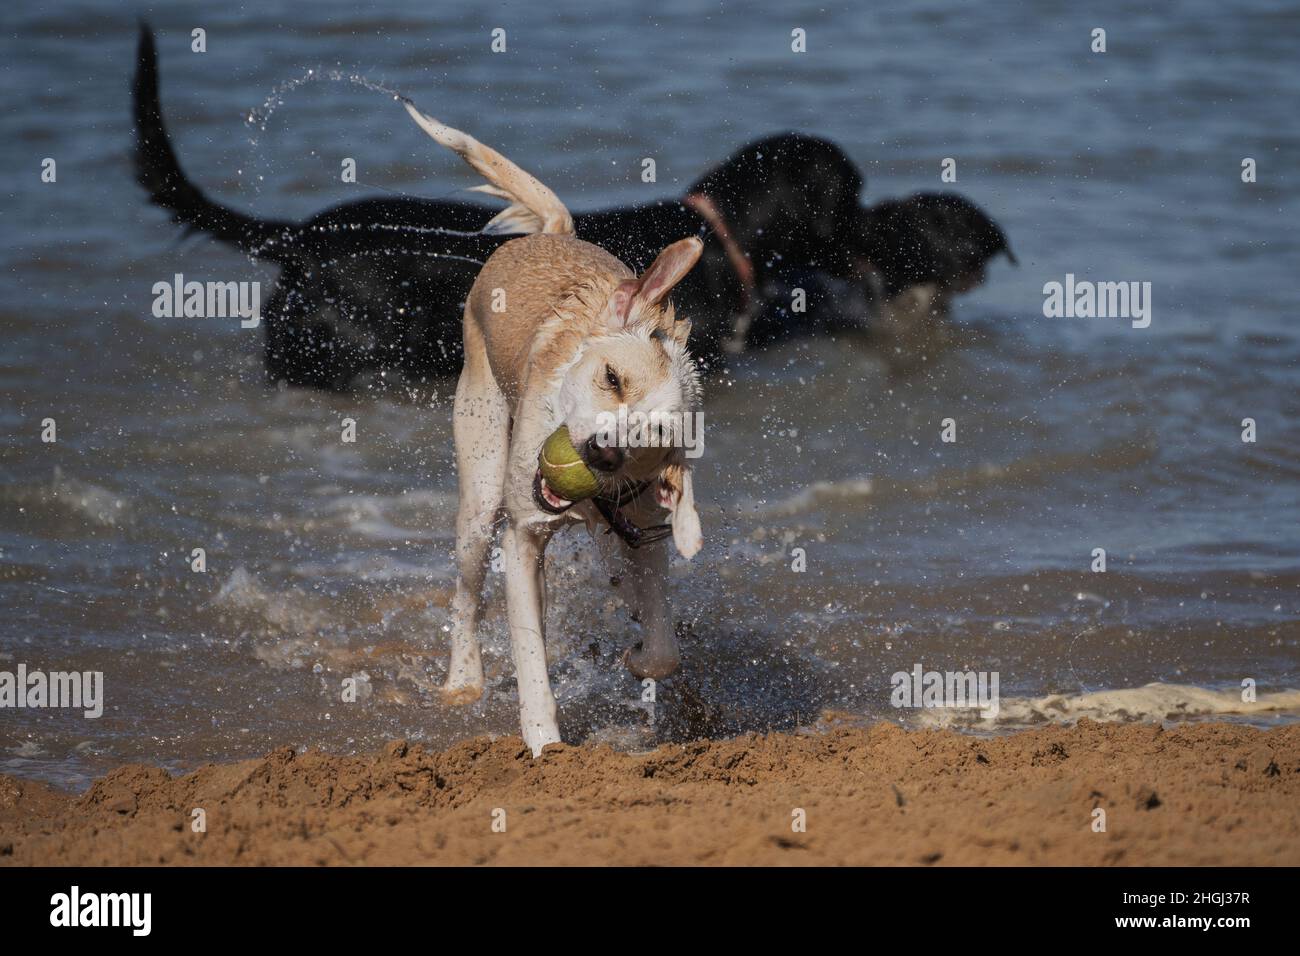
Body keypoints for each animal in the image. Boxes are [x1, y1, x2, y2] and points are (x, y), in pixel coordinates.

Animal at [405, 102, 707, 754]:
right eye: (612, 378)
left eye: (654, 438)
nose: (602, 453)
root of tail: (554, 232)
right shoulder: (522, 537)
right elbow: (530, 657)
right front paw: (546, 746)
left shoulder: (644, 528)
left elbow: (665, 649)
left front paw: (638, 653)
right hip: (481, 486)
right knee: (466, 595)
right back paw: (463, 681)